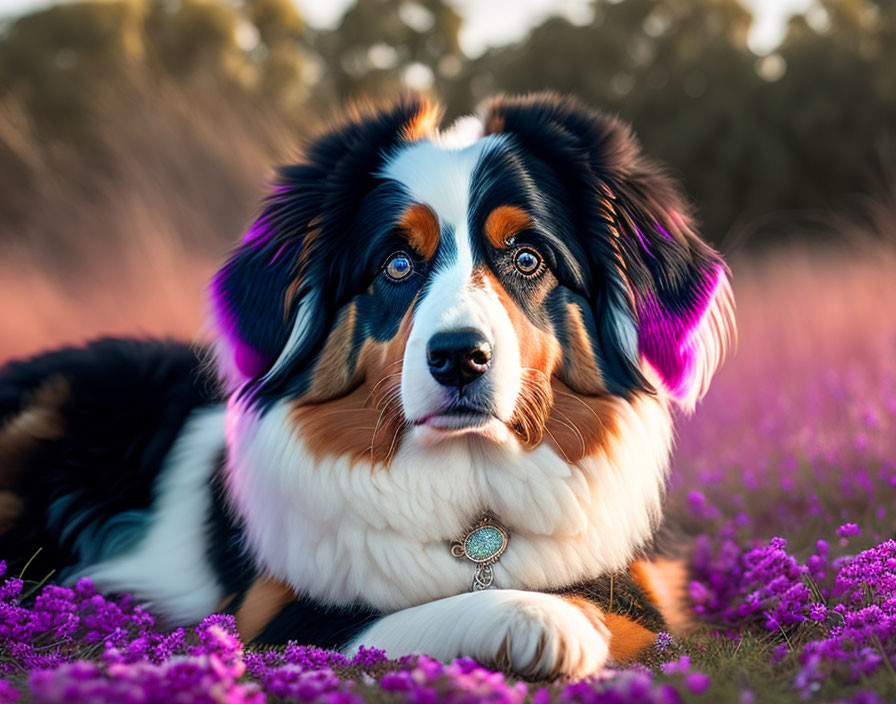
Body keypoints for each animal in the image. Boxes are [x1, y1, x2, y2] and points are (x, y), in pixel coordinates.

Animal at [0, 92, 736, 676]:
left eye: (527, 257)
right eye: (397, 265)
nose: (460, 358)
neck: (473, 485)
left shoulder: (647, 585)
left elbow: (633, 611)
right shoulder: (277, 616)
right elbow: (421, 613)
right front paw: (543, 618)